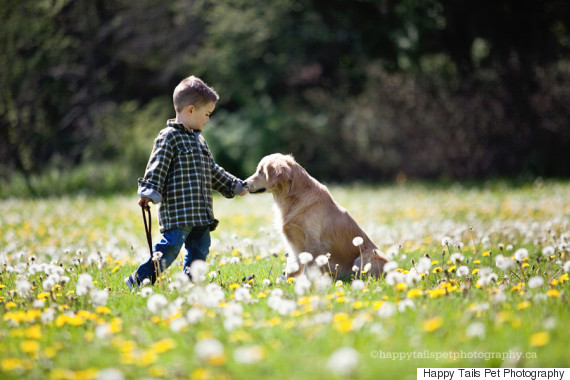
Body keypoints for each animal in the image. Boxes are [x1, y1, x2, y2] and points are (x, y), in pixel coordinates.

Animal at [244, 153, 386, 278]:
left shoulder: (313, 242)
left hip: (366, 256)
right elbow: (292, 266)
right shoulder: (294, 243)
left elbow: (309, 268)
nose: (244, 183)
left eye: (261, 172)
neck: (293, 198)